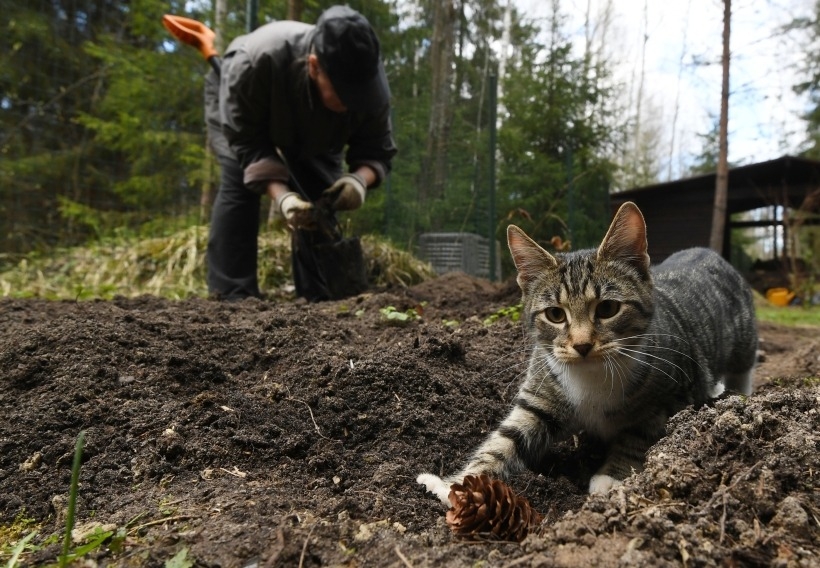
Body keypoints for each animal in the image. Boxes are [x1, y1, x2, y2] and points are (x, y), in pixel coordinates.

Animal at [420, 202, 760, 504]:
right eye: (555, 314)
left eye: (608, 309)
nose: (582, 344)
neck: (592, 375)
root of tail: (706, 251)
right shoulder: (541, 393)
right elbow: (506, 439)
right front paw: (455, 485)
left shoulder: (671, 395)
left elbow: (638, 435)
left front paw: (611, 477)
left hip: (744, 338)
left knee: (743, 367)